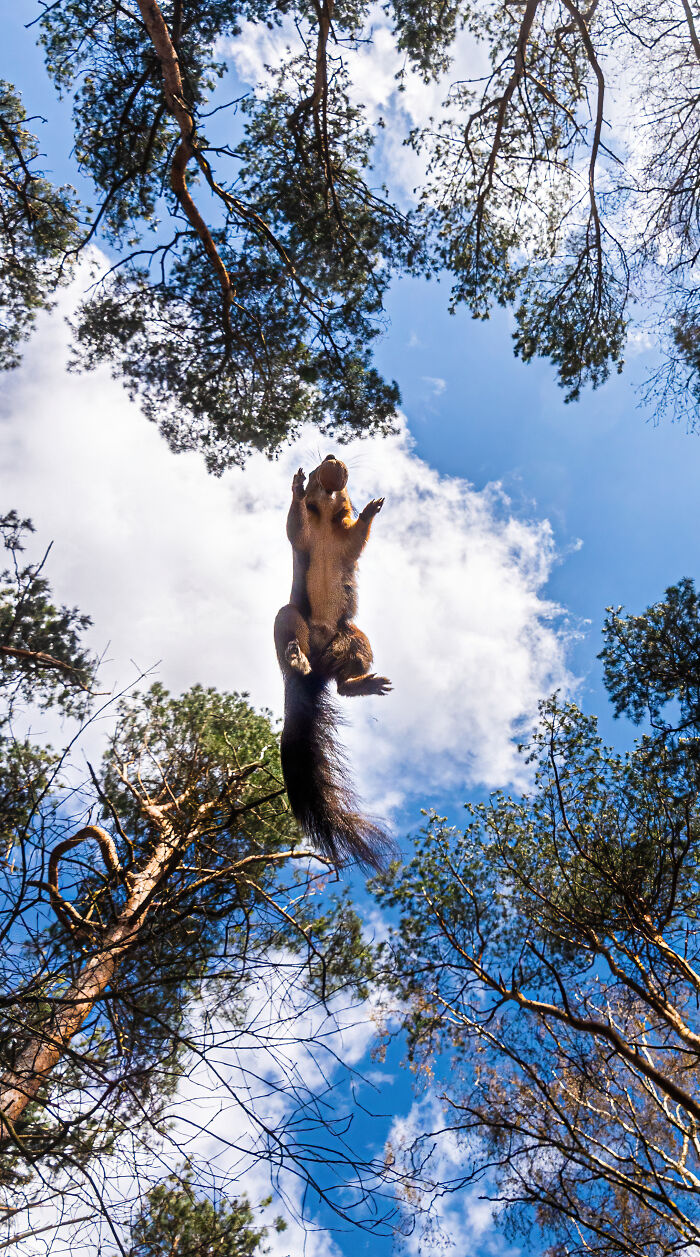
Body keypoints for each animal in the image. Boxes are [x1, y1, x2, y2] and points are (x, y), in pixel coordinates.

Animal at [274, 455, 393, 870]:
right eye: (315, 469)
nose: (330, 459)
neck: (325, 519)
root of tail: (318, 673)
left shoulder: (345, 543)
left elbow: (357, 537)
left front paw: (372, 508)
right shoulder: (303, 536)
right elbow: (293, 524)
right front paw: (294, 487)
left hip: (356, 640)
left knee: (342, 686)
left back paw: (363, 683)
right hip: (290, 616)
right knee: (290, 637)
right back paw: (295, 657)